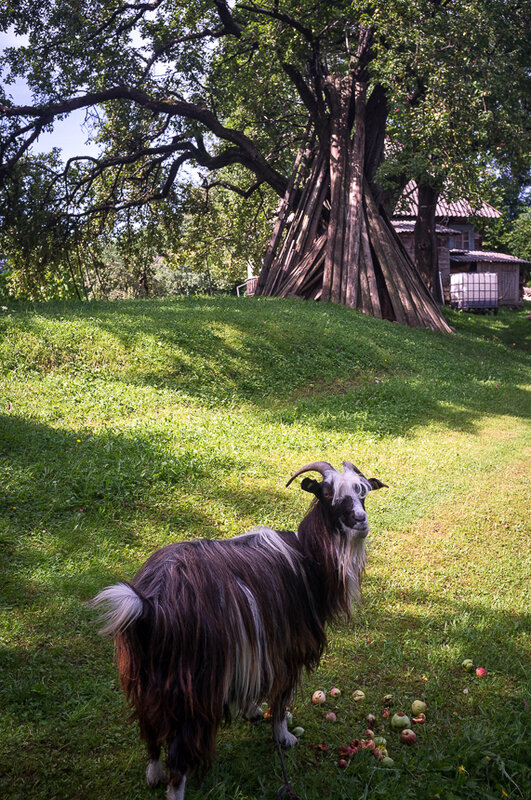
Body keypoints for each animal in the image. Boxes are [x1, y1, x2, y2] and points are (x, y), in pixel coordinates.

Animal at [91, 460, 386, 796]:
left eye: (363, 493)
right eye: (326, 493)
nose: (360, 520)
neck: (307, 557)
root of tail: (152, 605)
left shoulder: (257, 645)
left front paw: (252, 711)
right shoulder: (287, 649)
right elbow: (280, 698)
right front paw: (283, 737)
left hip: (146, 676)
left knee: (150, 728)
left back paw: (153, 774)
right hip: (195, 685)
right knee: (179, 754)